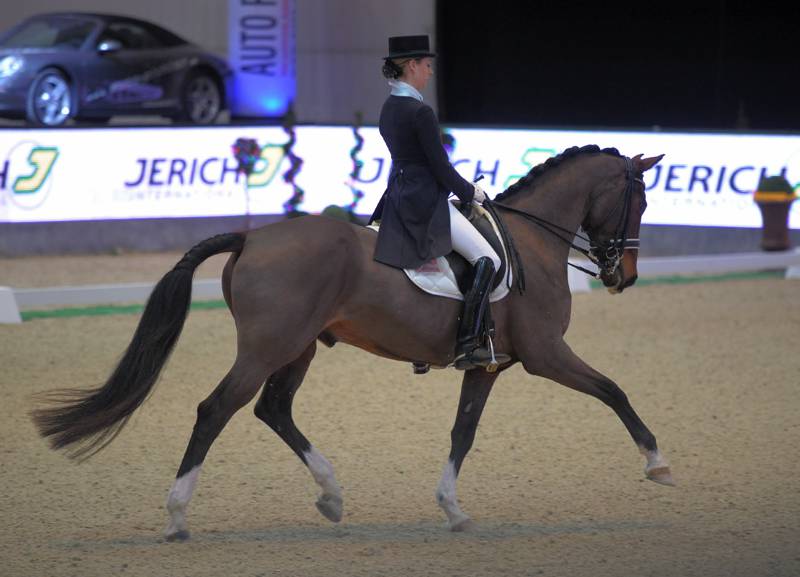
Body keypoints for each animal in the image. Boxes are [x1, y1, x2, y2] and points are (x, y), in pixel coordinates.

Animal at [31, 144, 668, 540]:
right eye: (637, 200)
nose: (626, 276)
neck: (531, 241)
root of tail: (251, 237)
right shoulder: (544, 355)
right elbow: (614, 390)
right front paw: (657, 464)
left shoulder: (486, 365)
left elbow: (462, 431)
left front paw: (453, 511)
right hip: (268, 347)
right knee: (217, 409)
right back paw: (177, 517)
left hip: (300, 347)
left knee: (273, 409)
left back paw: (332, 496)